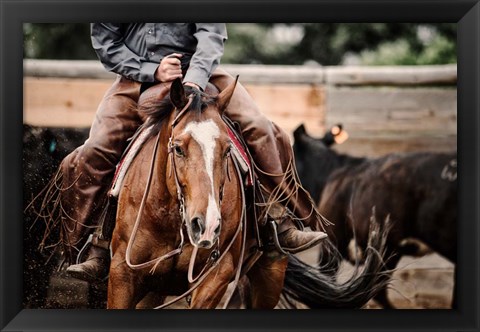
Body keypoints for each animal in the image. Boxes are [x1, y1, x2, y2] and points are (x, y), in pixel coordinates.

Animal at [106, 77, 390, 308]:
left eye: (227, 149)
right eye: (178, 148)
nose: (207, 225)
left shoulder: (216, 275)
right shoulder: (123, 274)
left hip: (269, 274)